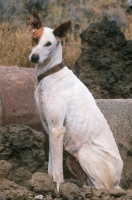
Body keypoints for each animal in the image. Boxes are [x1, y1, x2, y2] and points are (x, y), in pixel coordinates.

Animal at [28, 8, 122, 191]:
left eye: (48, 44)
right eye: (35, 39)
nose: (34, 57)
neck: (51, 73)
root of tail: (118, 182)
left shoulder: (57, 130)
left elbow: (57, 171)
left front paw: (57, 189)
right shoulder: (50, 129)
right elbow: (51, 166)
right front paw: (46, 184)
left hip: (85, 151)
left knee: (101, 188)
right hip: (72, 159)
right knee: (86, 183)